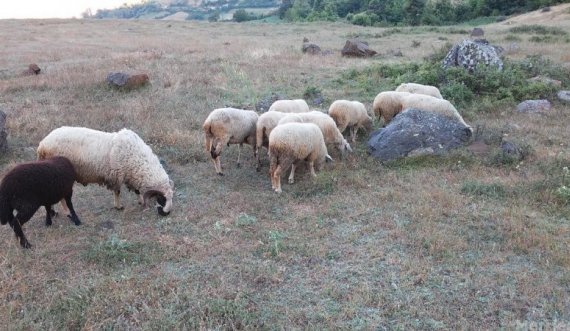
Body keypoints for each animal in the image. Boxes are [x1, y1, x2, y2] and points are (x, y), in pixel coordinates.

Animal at [37, 126, 173, 217]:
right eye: (161, 198)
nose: (166, 213)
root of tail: (42, 145)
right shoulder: (117, 175)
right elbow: (117, 192)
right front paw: (118, 206)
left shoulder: (130, 176)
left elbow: (136, 190)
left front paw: (140, 200)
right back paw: (66, 212)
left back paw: (53, 212)